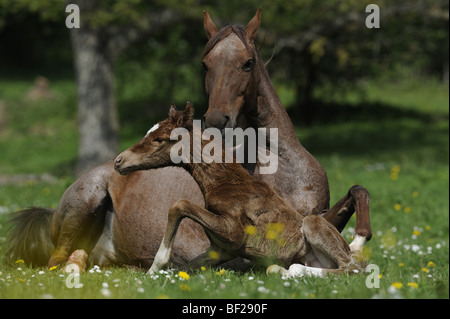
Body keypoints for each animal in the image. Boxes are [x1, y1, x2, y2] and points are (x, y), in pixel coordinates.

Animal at [113, 104, 366, 276]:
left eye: (158, 139)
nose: (118, 161)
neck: (225, 183)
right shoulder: (221, 249)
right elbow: (187, 267)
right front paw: (152, 274)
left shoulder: (234, 233)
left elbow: (179, 205)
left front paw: (156, 265)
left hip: (314, 224)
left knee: (351, 267)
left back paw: (291, 270)